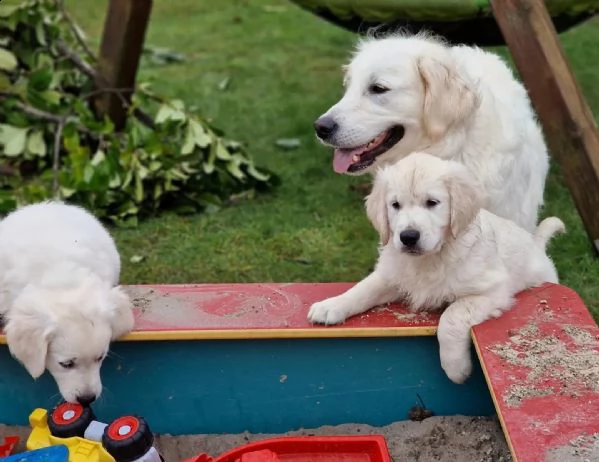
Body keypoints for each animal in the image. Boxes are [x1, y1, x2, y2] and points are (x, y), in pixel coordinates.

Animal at [308, 153, 564, 384]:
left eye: (432, 203)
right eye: (395, 205)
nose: (408, 237)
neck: (431, 258)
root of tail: (537, 245)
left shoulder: (493, 291)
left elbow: (451, 316)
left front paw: (456, 369)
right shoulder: (392, 274)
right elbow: (363, 289)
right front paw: (331, 306)